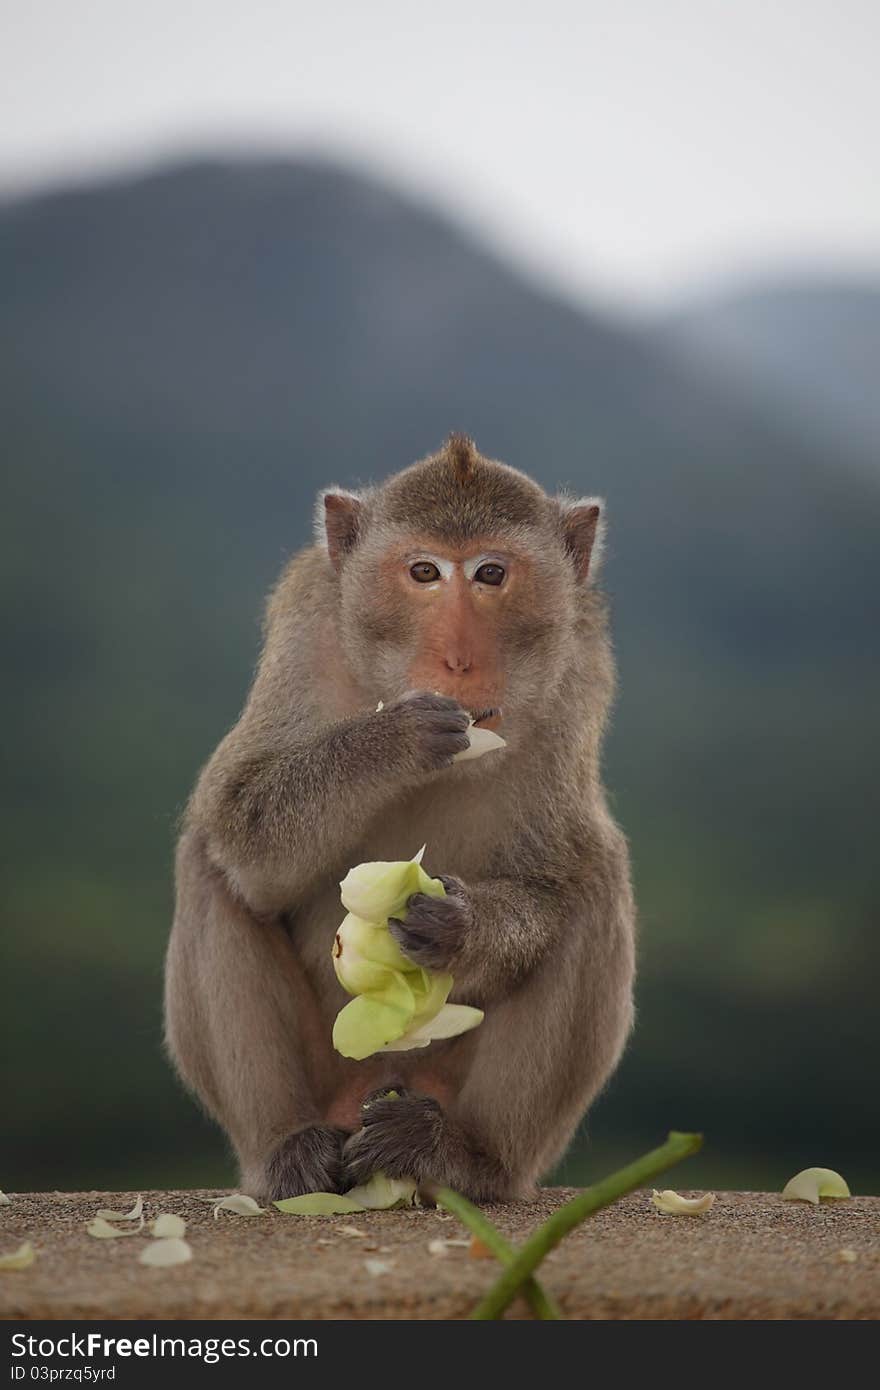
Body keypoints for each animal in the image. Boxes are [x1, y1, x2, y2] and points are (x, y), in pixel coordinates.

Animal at [163, 436, 631, 1206]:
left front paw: (459, 926)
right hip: (331, 1075)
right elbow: (241, 824)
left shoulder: (580, 667)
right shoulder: (306, 625)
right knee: (209, 863)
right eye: (423, 572)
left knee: (595, 880)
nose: (458, 658)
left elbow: (554, 877)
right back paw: (289, 1150)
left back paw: (462, 1155)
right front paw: (394, 741)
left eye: (491, 573)